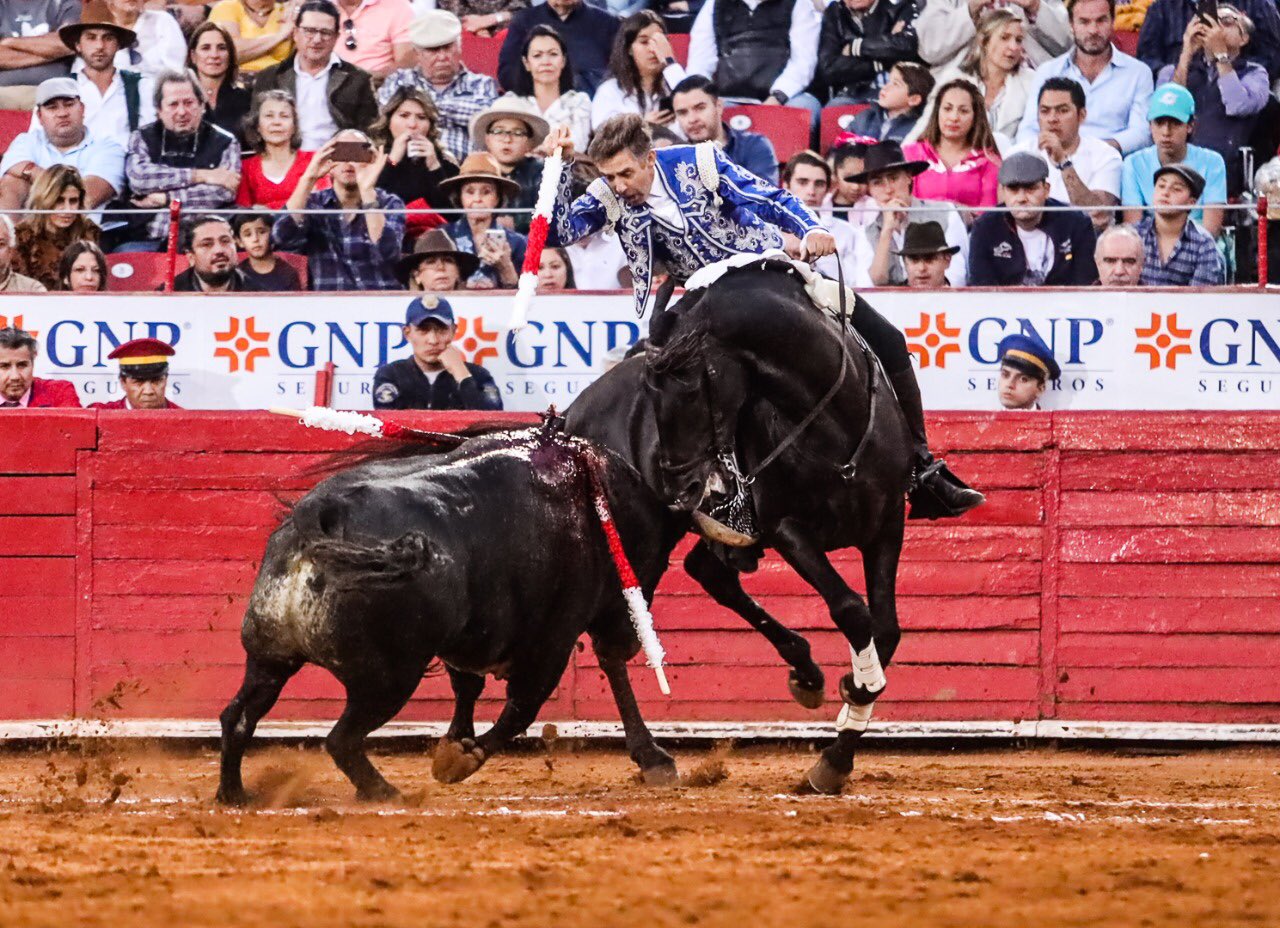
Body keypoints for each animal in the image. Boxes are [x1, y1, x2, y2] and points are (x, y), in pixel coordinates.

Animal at [216, 422, 685, 805]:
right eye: (656, 558)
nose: (633, 638)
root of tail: (319, 514)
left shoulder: (473, 637)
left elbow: (469, 687)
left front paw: (456, 743)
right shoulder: (555, 637)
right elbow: (522, 707)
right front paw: (462, 759)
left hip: (270, 657)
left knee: (238, 718)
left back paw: (234, 794)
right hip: (387, 679)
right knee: (340, 740)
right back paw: (384, 792)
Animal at [637, 259, 916, 794]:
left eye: (692, 388)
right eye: (649, 392)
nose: (679, 487)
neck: (833, 426)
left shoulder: (887, 524)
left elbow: (886, 627)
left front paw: (849, 717)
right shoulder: (787, 529)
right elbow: (851, 610)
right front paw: (851, 711)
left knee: (711, 573)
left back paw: (806, 671)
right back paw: (650, 757)